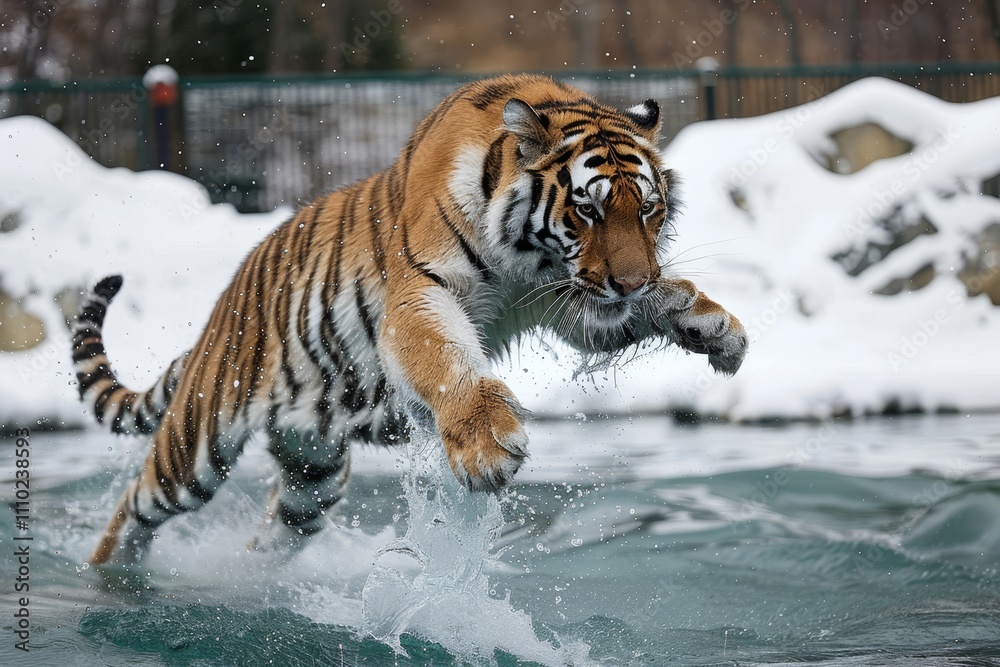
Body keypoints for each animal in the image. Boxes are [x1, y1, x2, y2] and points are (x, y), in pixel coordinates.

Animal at [72, 73, 748, 565]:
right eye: (587, 211)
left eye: (649, 211)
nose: (631, 280)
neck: (530, 261)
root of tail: (220, 311)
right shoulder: (423, 290)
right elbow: (444, 359)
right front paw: (485, 445)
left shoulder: (570, 303)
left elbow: (651, 305)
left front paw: (713, 326)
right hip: (198, 443)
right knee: (135, 508)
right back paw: (111, 582)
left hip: (313, 476)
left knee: (273, 534)